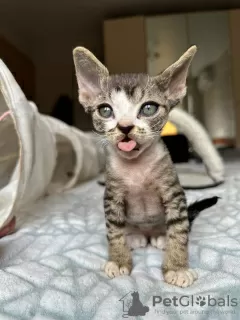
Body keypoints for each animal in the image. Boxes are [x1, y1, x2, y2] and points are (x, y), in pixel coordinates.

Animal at [73, 45, 219, 288]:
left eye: (148, 108)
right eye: (105, 110)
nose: (124, 127)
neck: (137, 166)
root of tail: (148, 233)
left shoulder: (174, 193)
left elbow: (179, 231)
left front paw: (177, 267)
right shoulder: (112, 197)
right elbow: (114, 231)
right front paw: (119, 259)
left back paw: (161, 237)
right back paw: (134, 236)